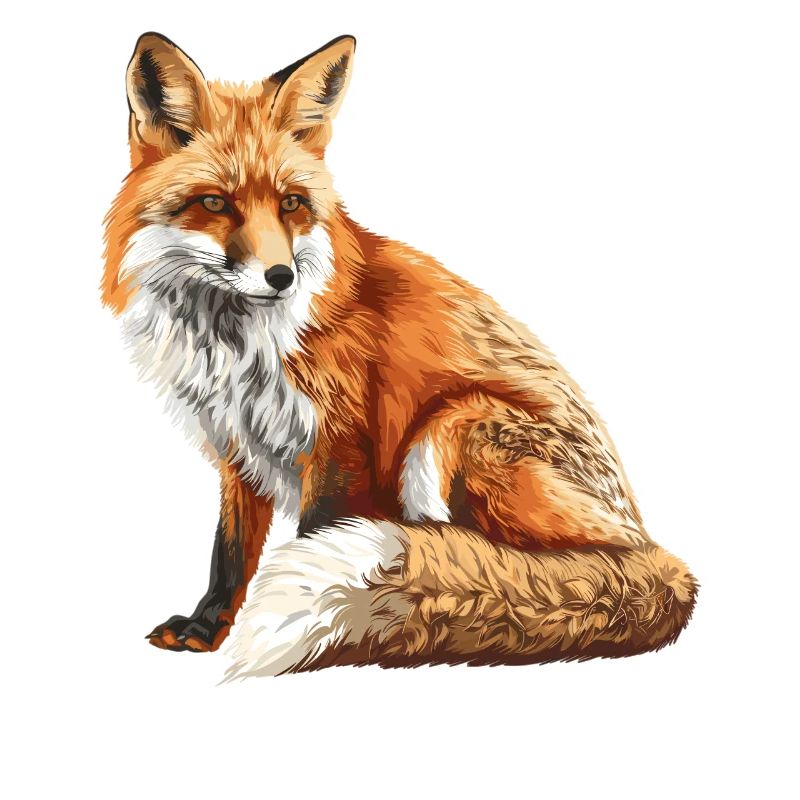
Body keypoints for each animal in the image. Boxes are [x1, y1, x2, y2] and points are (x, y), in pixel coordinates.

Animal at [103, 32, 697, 677]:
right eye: (214, 203)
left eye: (291, 203)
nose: (281, 277)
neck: (236, 343)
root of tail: (654, 550)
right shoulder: (239, 444)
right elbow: (230, 554)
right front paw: (207, 628)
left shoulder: (339, 443)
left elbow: (314, 536)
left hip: (451, 429)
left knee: (500, 562)